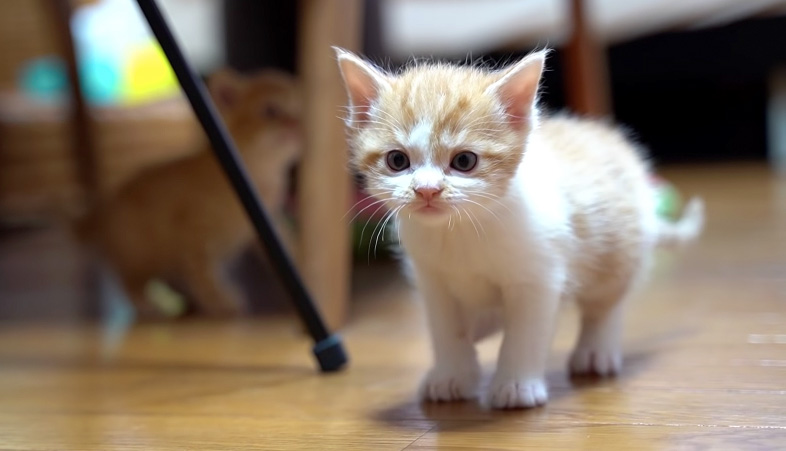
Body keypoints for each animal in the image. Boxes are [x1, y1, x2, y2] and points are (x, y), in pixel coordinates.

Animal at [76, 69, 302, 318]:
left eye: (301, 110)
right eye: (270, 111)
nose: (296, 125)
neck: (261, 175)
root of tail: (105, 209)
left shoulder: (269, 223)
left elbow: (287, 247)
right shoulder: (193, 233)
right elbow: (204, 273)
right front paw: (220, 301)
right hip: (142, 255)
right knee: (130, 281)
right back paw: (149, 305)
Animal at [334, 48, 700, 410]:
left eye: (464, 161)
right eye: (397, 161)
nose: (426, 190)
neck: (457, 233)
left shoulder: (539, 276)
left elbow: (525, 332)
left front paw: (515, 385)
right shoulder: (431, 280)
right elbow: (447, 329)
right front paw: (452, 374)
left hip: (617, 247)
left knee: (606, 302)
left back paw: (596, 350)